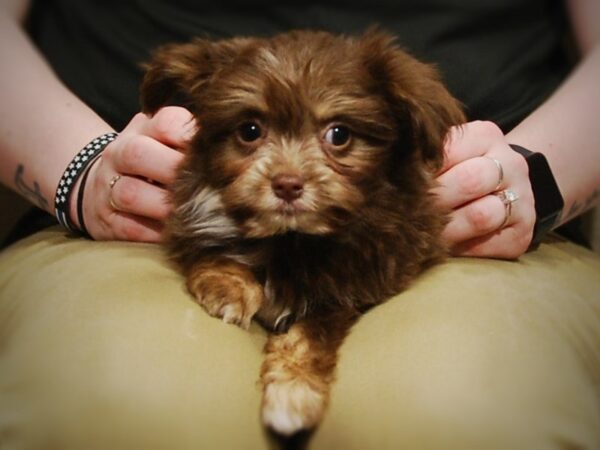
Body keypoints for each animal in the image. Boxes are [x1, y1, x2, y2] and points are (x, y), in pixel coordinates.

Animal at [141, 30, 464, 436]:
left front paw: (292, 393)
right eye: (249, 130)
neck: (292, 238)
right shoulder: (192, 219)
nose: (287, 184)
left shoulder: (352, 289)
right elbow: (215, 252)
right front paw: (230, 289)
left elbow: (308, 335)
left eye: (339, 134)